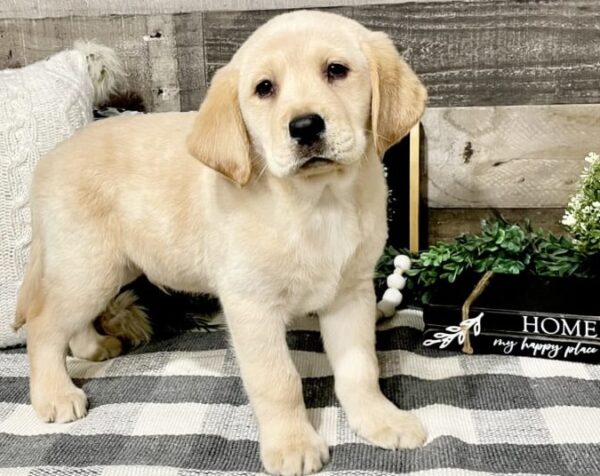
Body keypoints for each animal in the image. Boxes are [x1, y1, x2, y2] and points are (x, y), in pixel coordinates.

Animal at [15, 9, 426, 474]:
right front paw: (292, 443)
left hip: (102, 268)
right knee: (43, 325)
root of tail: (48, 160)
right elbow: (278, 379)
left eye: (336, 70)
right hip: (86, 265)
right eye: (264, 88)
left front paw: (379, 419)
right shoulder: (251, 304)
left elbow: (360, 368)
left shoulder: (350, 293)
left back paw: (94, 346)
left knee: (72, 322)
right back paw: (54, 394)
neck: (317, 202)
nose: (304, 126)